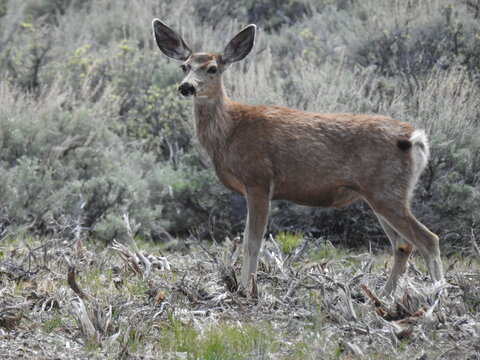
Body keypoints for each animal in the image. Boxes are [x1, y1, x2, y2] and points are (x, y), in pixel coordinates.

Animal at [152, 20, 444, 296]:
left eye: (212, 69)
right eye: (184, 66)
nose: (187, 87)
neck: (230, 131)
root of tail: (416, 138)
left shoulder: (259, 179)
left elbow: (252, 242)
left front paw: (248, 290)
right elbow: (247, 239)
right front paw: (245, 287)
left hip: (386, 190)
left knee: (428, 239)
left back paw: (436, 297)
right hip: (380, 192)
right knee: (403, 244)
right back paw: (383, 296)